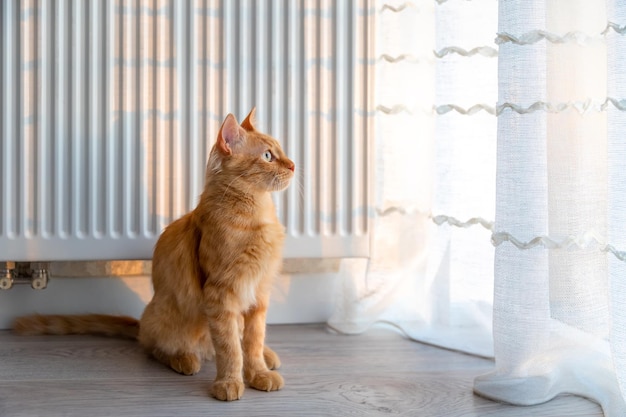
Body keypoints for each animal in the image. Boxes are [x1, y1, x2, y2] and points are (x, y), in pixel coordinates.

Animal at [12, 109, 294, 402]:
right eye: (267, 156)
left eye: (282, 152)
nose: (293, 166)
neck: (256, 216)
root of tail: (142, 324)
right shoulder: (221, 296)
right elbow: (230, 349)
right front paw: (229, 382)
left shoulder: (258, 295)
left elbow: (252, 342)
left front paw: (259, 373)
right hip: (168, 319)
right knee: (157, 349)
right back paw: (185, 359)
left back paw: (267, 356)